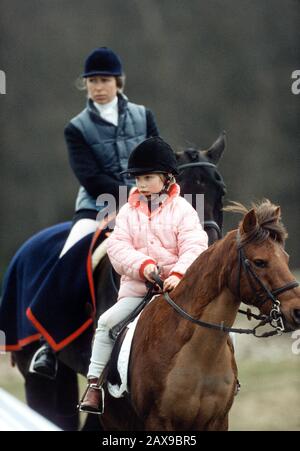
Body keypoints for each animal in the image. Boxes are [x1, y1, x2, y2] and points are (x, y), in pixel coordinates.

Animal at [99, 200, 300, 430]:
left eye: (286, 258)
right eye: (259, 262)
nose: (297, 311)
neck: (201, 356)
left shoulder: (218, 421)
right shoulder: (158, 421)